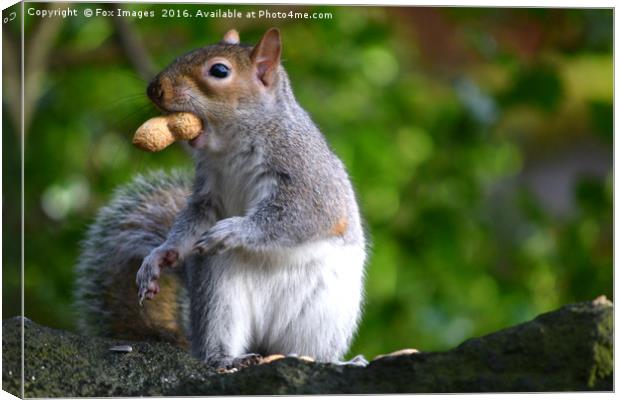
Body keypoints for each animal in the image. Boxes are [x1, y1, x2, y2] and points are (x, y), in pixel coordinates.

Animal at [76, 26, 368, 368]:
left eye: (219, 71)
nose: (153, 89)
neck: (231, 145)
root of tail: (266, 344)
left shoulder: (307, 174)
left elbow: (303, 215)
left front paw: (232, 230)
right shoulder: (207, 191)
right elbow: (193, 220)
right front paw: (159, 256)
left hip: (322, 314)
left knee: (309, 350)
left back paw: (330, 361)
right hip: (218, 289)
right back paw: (224, 359)